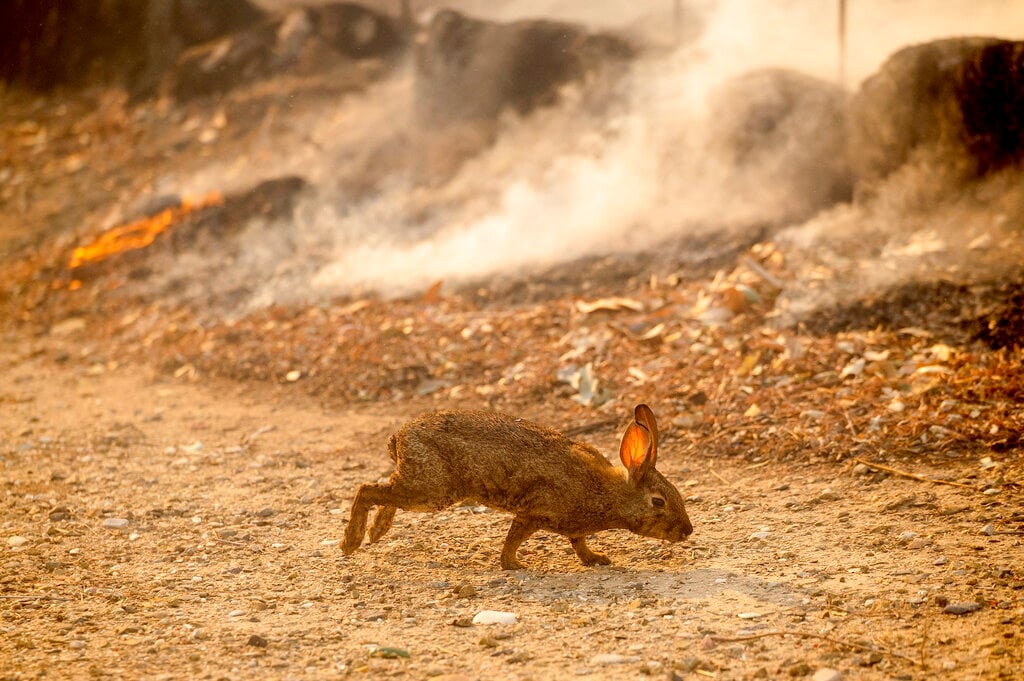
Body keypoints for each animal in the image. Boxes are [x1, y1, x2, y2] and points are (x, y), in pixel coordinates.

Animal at [339, 403, 692, 569]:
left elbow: (578, 543)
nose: (688, 531)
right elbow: (514, 538)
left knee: (385, 489)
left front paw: (596, 559)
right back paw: (351, 542)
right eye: (659, 502)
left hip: (423, 487)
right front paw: (513, 565)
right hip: (432, 490)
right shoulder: (534, 513)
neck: (610, 493)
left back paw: (376, 532)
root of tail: (398, 438)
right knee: (367, 489)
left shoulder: (573, 526)